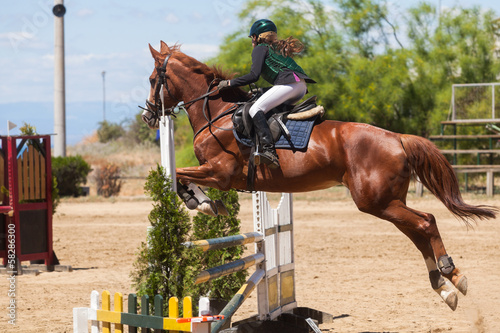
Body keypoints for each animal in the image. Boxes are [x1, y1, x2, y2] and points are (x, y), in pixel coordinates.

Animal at [143, 40, 498, 308]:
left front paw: (201, 203)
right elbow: (178, 174)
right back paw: (445, 286)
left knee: (426, 222)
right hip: (388, 201)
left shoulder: (219, 173)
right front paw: (203, 203)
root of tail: (397, 138)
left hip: (376, 201)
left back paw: (452, 274)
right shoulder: (217, 174)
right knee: (418, 230)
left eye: (152, 80)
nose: (148, 116)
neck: (216, 114)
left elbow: (177, 173)